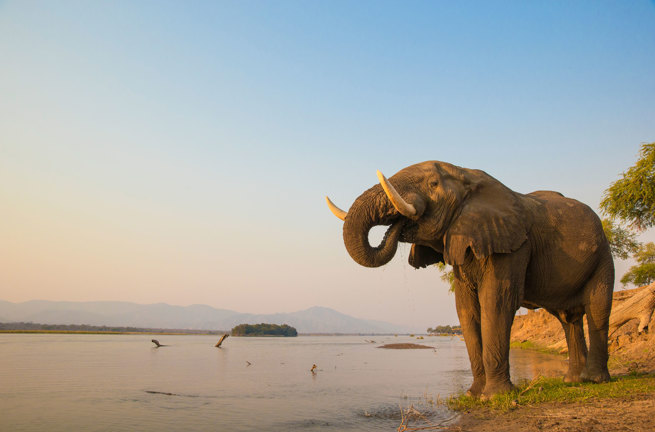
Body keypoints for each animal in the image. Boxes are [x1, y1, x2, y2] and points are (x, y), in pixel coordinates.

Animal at [326, 161, 613, 397]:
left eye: (433, 184)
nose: (398, 226)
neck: (468, 176)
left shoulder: (513, 245)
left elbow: (496, 302)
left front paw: (494, 397)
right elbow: (466, 309)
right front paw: (474, 395)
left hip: (603, 254)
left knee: (597, 308)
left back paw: (595, 380)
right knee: (568, 318)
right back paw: (573, 381)